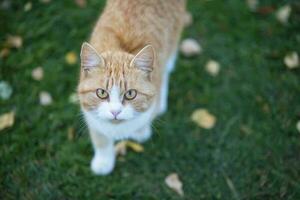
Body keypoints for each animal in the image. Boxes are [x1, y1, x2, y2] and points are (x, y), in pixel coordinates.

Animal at [77, 0, 185, 175]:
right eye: (101, 93)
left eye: (130, 94)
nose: (115, 112)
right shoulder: (91, 117)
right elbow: (101, 140)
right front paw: (103, 161)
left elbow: (146, 117)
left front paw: (141, 131)